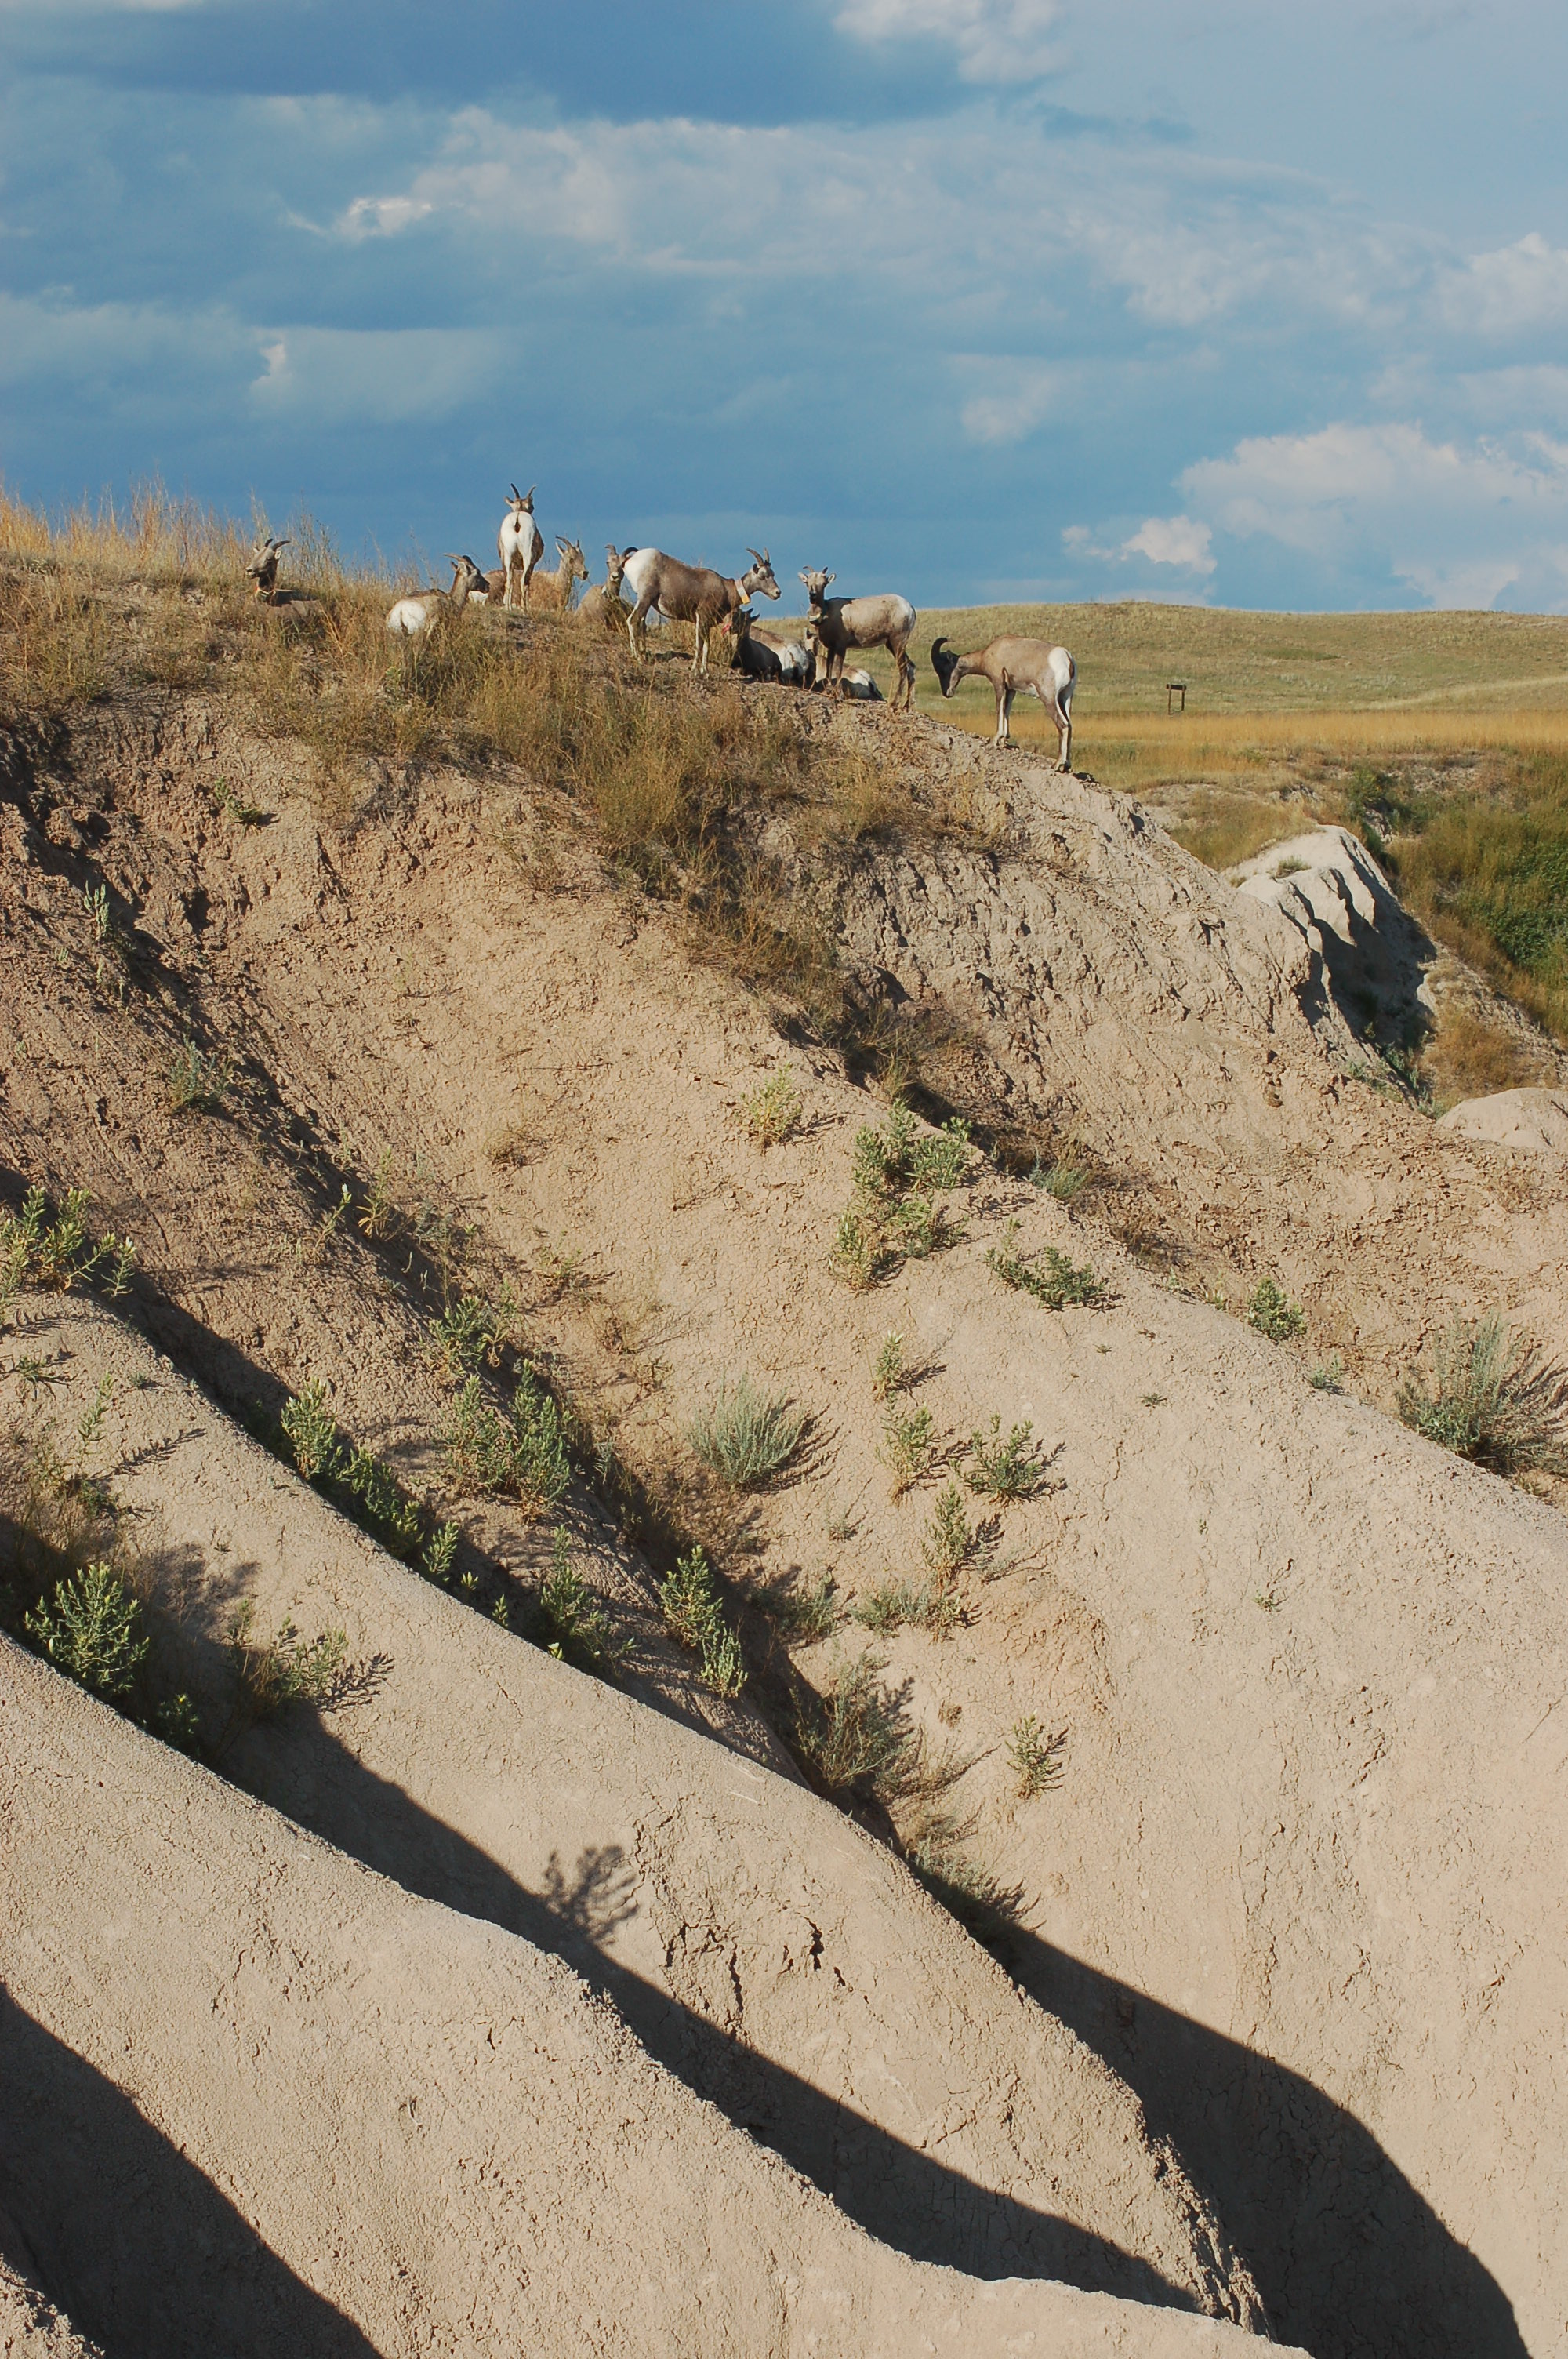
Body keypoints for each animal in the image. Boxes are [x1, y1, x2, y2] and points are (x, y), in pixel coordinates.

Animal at [498, 484, 544, 611]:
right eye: (532, 507)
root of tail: (518, 518)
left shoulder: (512, 565)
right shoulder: (531, 565)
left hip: (507, 558)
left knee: (509, 581)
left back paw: (508, 608)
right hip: (527, 557)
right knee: (523, 580)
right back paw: (524, 610)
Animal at [622, 545, 780, 673]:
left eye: (773, 574)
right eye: (763, 575)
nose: (777, 593)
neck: (727, 589)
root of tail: (631, 560)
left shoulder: (707, 623)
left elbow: (706, 645)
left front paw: (705, 672)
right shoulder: (702, 617)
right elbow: (699, 644)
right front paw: (694, 670)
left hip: (646, 602)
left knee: (641, 624)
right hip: (645, 598)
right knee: (632, 620)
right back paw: (637, 657)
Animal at [798, 570, 917, 712]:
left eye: (824, 584)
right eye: (807, 583)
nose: (813, 595)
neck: (829, 613)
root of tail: (910, 608)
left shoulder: (841, 646)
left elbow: (837, 668)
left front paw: (839, 696)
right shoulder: (831, 648)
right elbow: (829, 668)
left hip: (897, 642)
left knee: (903, 669)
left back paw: (894, 703)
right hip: (892, 645)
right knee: (911, 667)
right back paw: (907, 705)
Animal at [930, 635, 1076, 766]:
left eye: (943, 669)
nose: (946, 693)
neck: (989, 653)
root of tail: (1067, 658)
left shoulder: (998, 684)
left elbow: (999, 708)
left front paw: (995, 740)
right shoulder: (1011, 690)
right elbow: (1006, 710)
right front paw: (1003, 740)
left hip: (1049, 699)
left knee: (1063, 725)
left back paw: (1058, 765)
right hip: (1064, 699)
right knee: (1069, 724)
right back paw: (1067, 765)